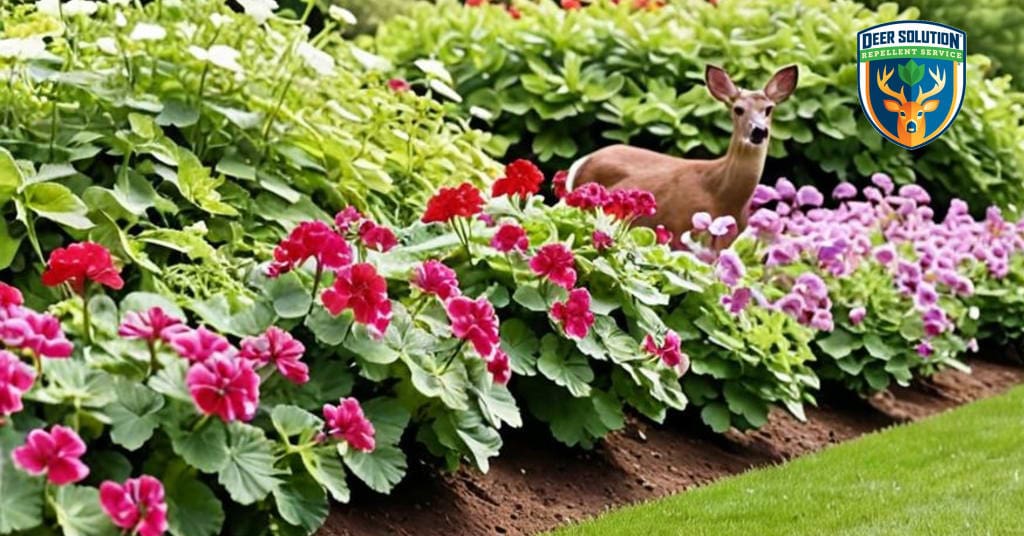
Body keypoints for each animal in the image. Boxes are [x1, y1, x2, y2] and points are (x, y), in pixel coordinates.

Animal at [565, 65, 798, 249]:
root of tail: (582, 161)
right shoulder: (679, 229)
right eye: (738, 109)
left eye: (768, 109)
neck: (721, 194)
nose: (759, 131)